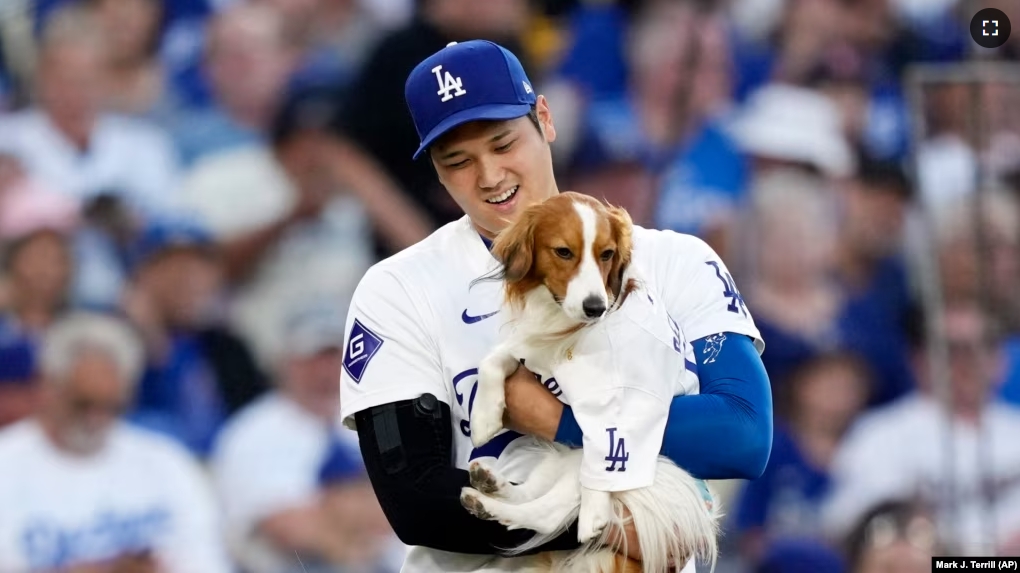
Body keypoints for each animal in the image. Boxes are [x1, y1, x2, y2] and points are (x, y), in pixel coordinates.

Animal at [461, 192, 718, 570]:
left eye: (607, 254)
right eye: (563, 252)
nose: (595, 307)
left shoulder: (633, 400)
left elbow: (611, 447)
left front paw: (595, 512)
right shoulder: (534, 351)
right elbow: (493, 360)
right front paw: (484, 418)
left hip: (587, 465)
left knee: (548, 514)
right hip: (562, 457)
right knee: (531, 492)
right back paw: (490, 488)